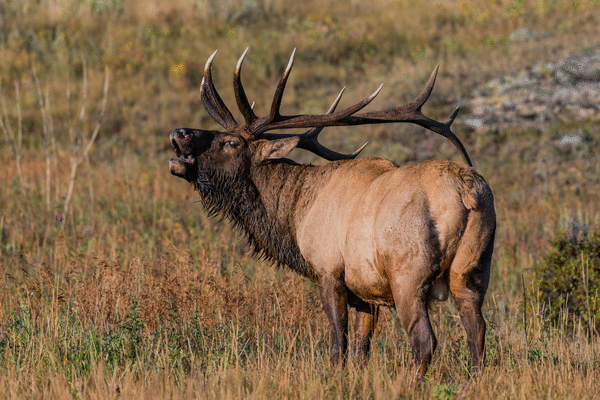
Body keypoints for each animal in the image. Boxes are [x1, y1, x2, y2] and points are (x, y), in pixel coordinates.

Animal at [166, 48, 494, 376]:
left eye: (230, 142)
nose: (179, 132)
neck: (295, 215)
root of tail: (465, 192)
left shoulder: (328, 270)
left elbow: (338, 346)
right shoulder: (365, 291)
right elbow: (360, 351)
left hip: (408, 275)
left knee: (424, 340)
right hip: (473, 269)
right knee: (477, 330)